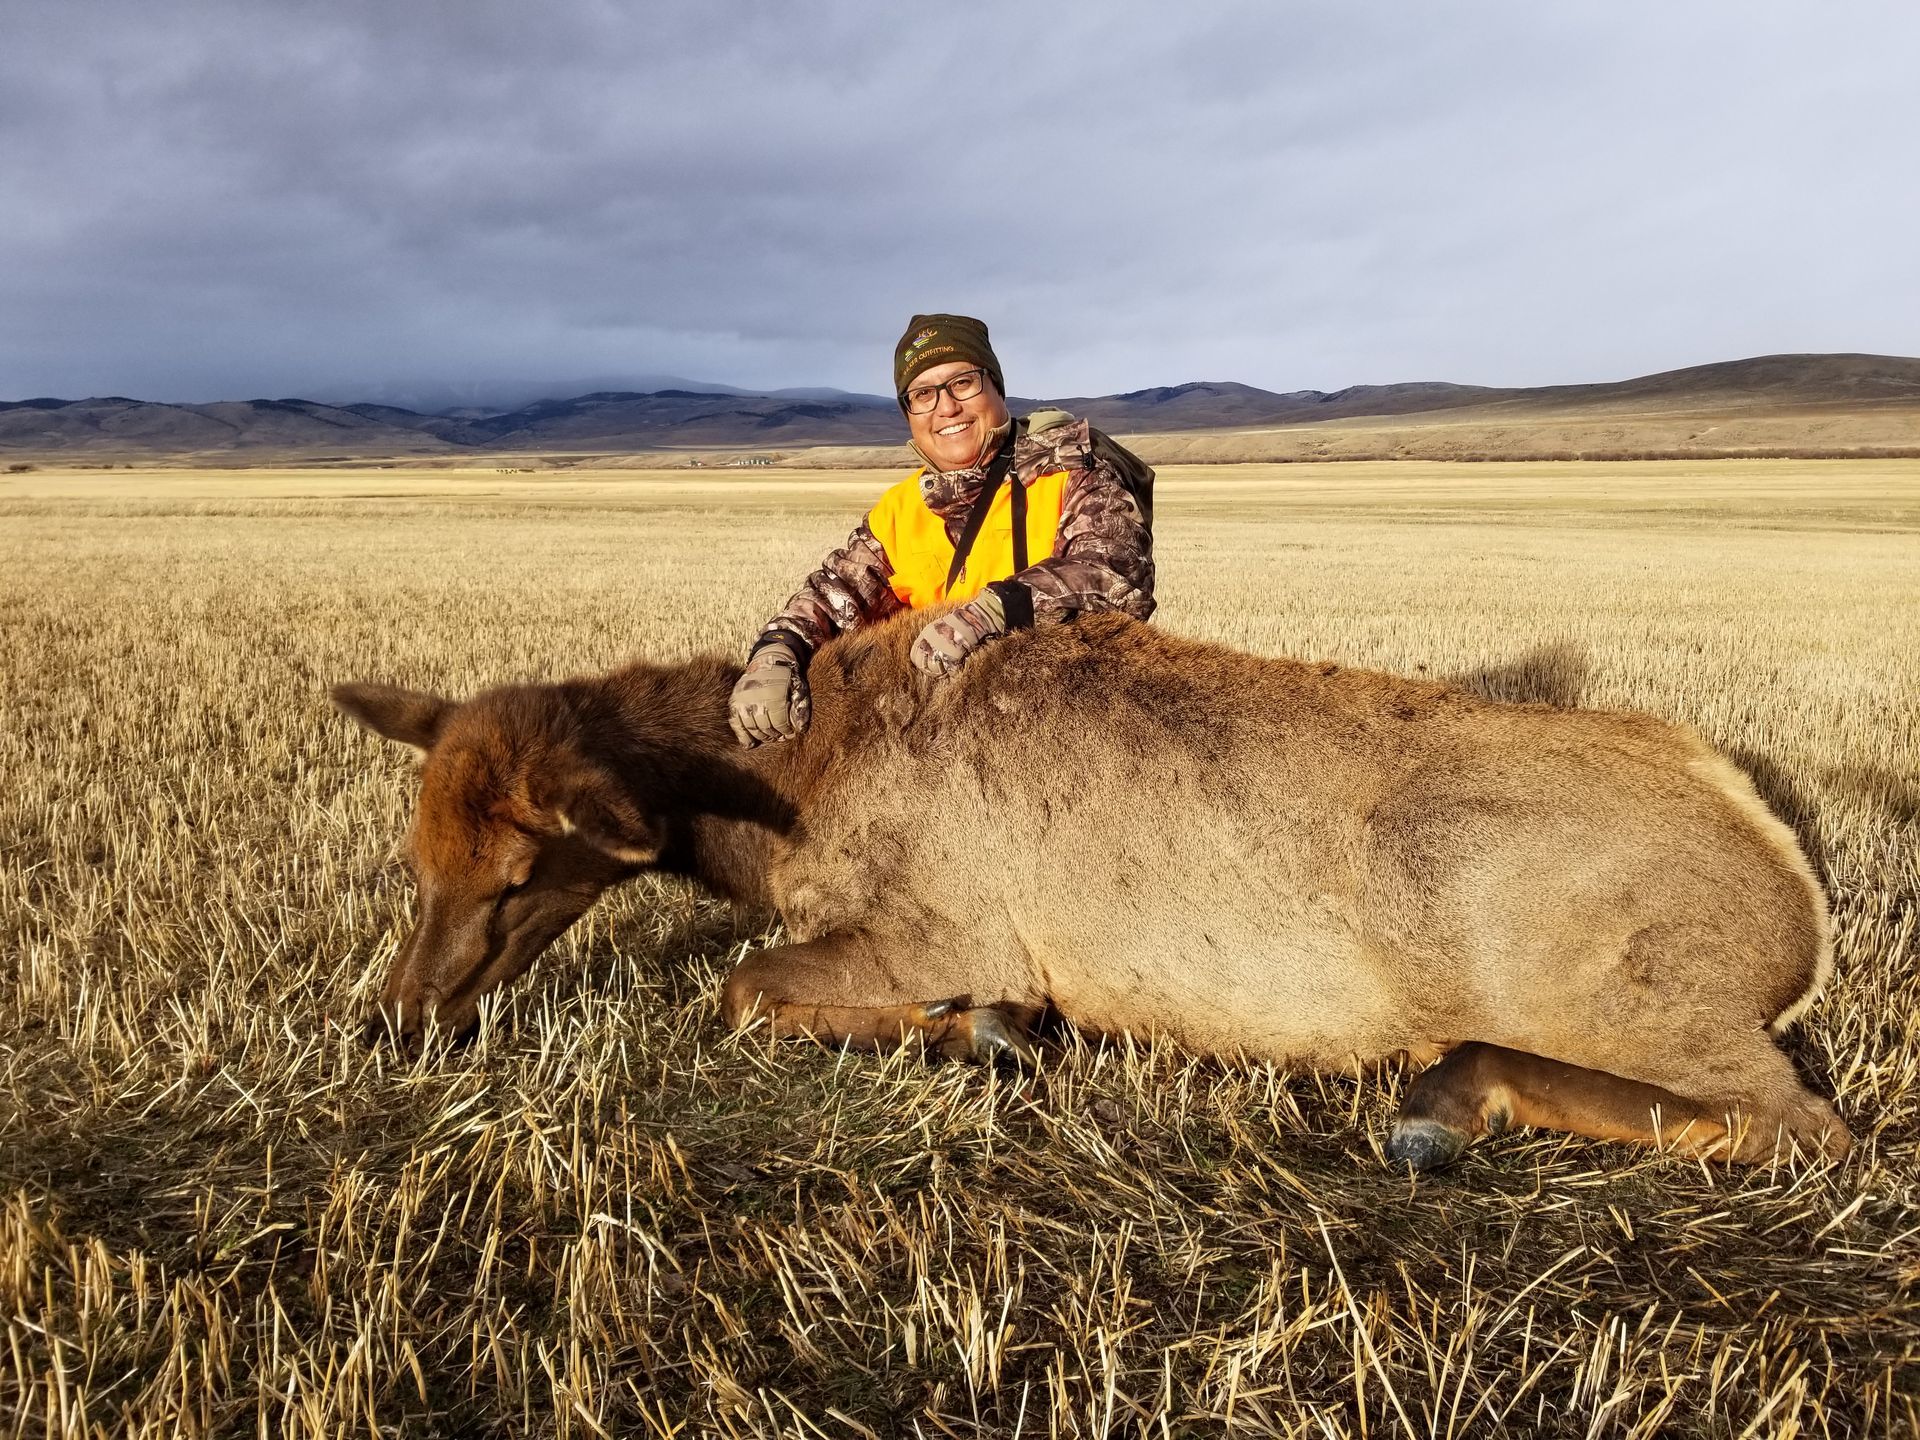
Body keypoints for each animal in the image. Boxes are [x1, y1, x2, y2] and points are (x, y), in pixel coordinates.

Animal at [331, 609, 1851, 1170]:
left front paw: (992, 1031)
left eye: (521, 870)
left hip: (1575, 964)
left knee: (1802, 1122)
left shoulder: (945, 925)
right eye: (415, 854)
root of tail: (1799, 897)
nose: (398, 1016)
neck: (787, 798)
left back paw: (1445, 1098)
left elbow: (745, 987)